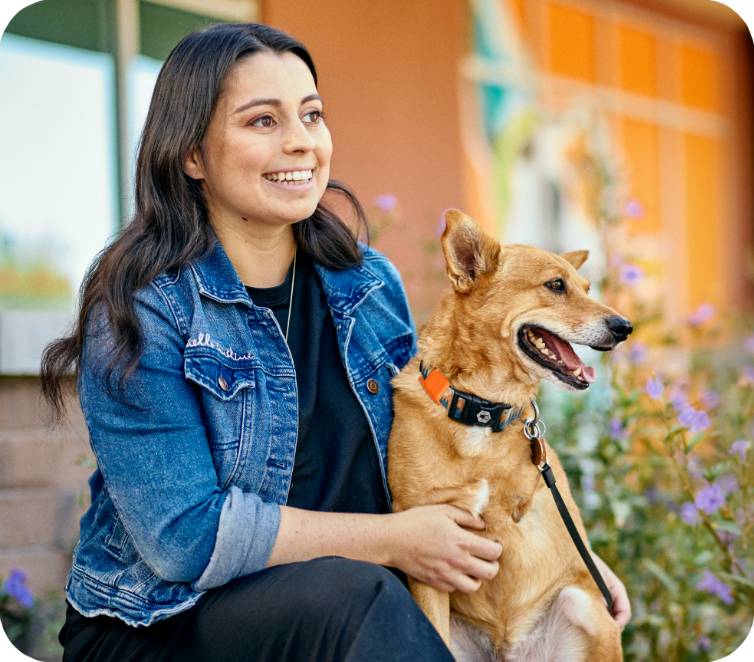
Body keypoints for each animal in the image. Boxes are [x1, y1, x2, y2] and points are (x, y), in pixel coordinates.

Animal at [388, 211, 628, 662]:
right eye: (556, 285)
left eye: (587, 289)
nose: (625, 327)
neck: (481, 410)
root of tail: (508, 650)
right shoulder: (427, 550)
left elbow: (520, 501)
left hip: (583, 604)